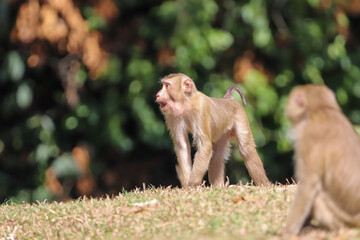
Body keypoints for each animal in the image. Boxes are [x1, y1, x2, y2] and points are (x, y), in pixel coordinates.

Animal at [282, 84, 360, 236]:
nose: (287, 107)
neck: (321, 109)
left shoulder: (307, 140)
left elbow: (308, 186)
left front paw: (287, 232)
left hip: (343, 220)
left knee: (318, 198)